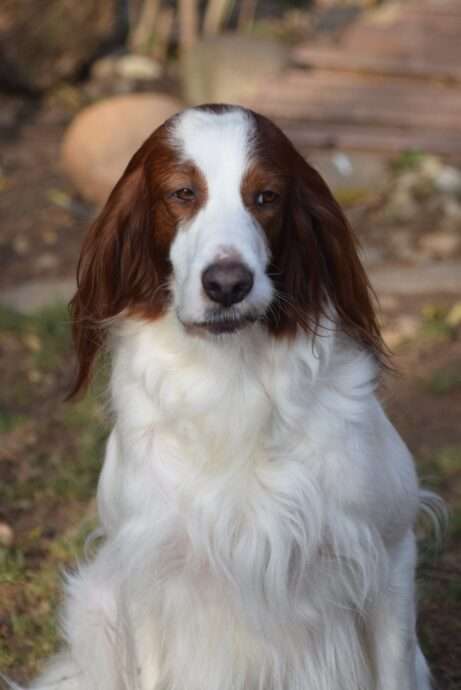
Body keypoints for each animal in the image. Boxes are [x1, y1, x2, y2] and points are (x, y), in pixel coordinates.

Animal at [31, 104, 433, 690]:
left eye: (265, 196)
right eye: (182, 193)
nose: (227, 284)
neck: (233, 384)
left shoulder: (389, 552)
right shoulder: (147, 573)